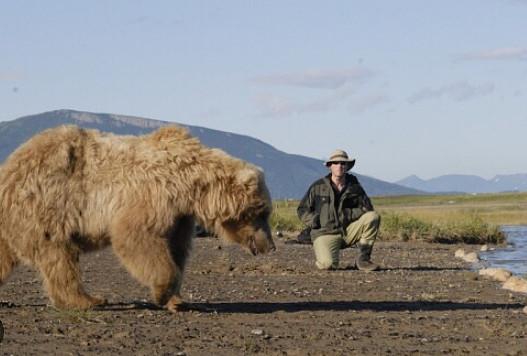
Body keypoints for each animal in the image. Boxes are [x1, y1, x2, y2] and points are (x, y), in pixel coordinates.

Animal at [1, 124, 276, 308]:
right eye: (262, 213)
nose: (270, 246)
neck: (192, 186)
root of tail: (9, 167)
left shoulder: (179, 216)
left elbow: (176, 250)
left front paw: (176, 299)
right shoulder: (153, 193)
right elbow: (135, 236)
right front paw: (162, 293)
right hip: (49, 206)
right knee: (59, 257)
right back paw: (88, 299)